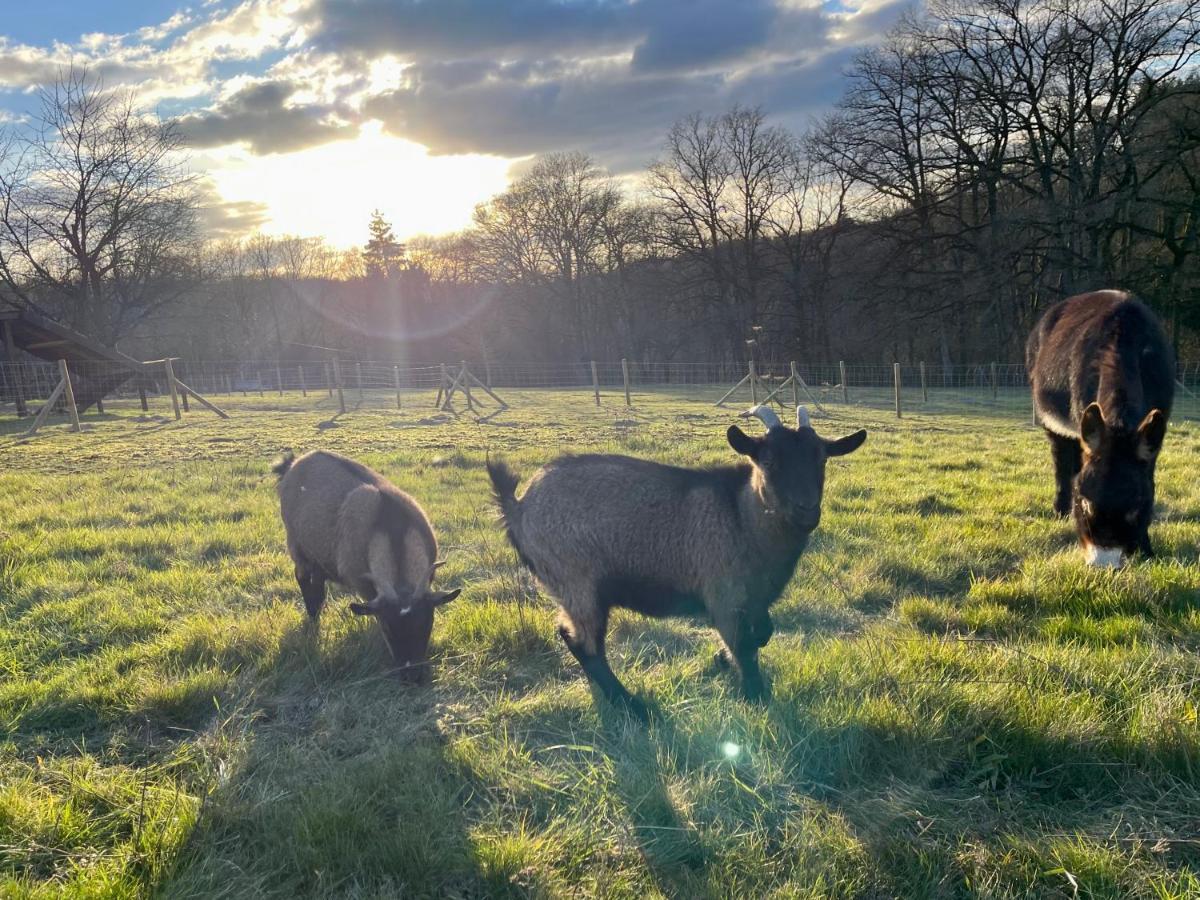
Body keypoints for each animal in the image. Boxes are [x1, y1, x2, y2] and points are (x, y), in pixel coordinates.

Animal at [274, 451, 460, 681]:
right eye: (387, 628)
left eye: (428, 623)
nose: (411, 675)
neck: (391, 525)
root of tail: (295, 463)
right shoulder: (363, 585)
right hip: (296, 545)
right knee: (301, 576)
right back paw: (313, 617)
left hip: (320, 556)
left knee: (318, 584)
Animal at [482, 408, 868, 720]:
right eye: (769, 461)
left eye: (822, 459)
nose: (807, 510)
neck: (741, 515)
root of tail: (517, 508)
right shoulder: (724, 596)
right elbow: (745, 648)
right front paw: (756, 698)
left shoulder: (756, 600)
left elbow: (763, 634)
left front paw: (721, 661)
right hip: (578, 581)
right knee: (585, 645)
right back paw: (634, 707)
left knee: (570, 636)